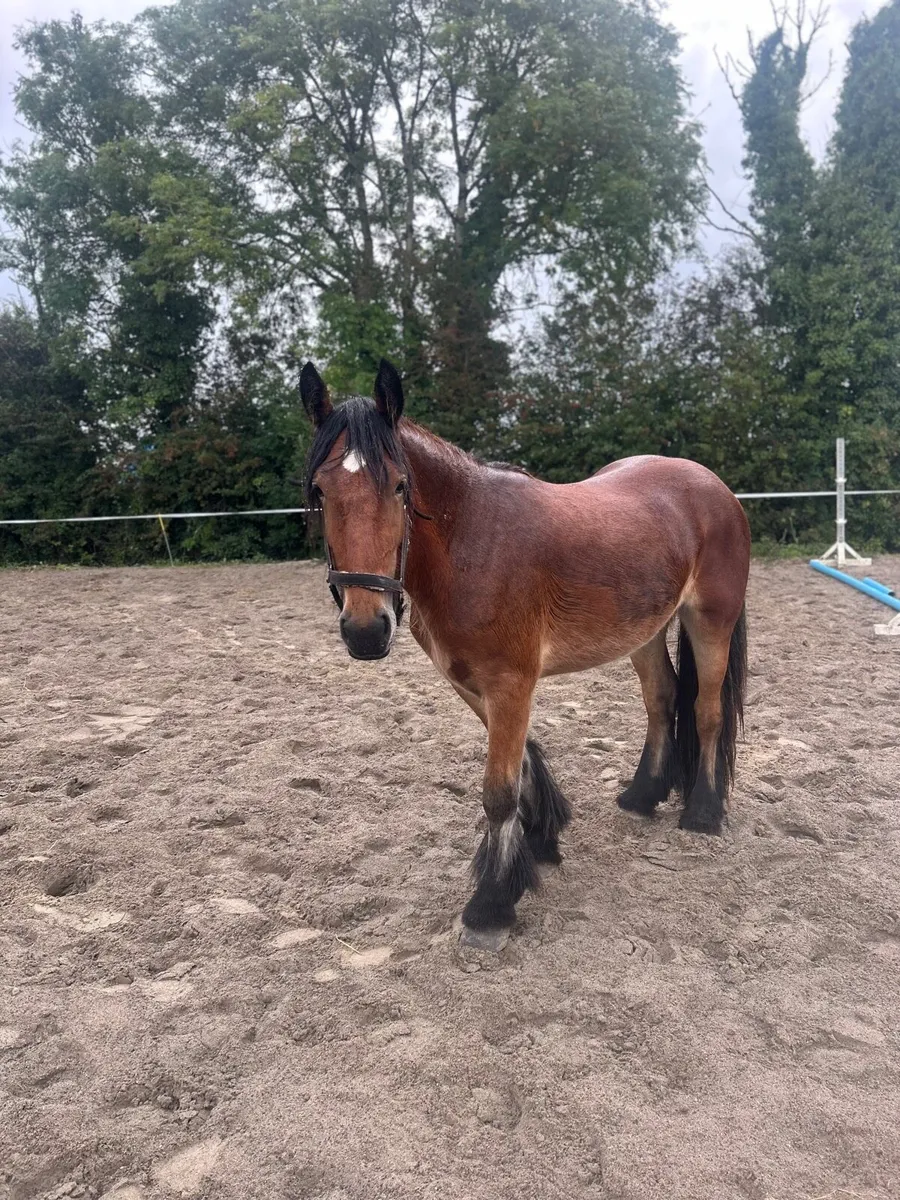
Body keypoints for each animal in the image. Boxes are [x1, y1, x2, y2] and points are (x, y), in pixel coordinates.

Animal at [300, 358, 750, 949]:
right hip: (646, 631)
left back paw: (702, 812)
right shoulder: (470, 679)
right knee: (662, 698)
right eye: (321, 490)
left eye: (399, 486)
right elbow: (525, 758)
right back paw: (643, 795)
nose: (366, 631)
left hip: (710, 620)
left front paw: (491, 905)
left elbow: (498, 790)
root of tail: (716, 487)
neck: (469, 543)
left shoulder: (511, 680)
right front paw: (541, 839)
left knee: (707, 711)